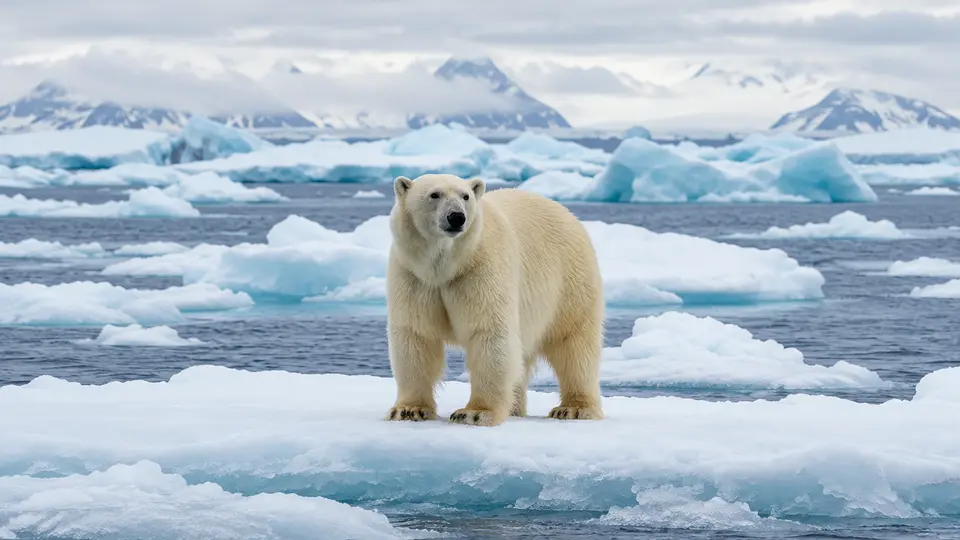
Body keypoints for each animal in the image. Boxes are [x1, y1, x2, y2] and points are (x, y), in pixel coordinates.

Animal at [384, 172, 604, 427]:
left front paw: (474, 413)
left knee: (573, 344)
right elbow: (415, 336)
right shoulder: (414, 277)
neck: (448, 267)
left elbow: (489, 333)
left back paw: (574, 408)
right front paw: (408, 410)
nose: (457, 217)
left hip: (569, 282)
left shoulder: (481, 269)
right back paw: (515, 408)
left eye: (465, 196)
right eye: (434, 194)